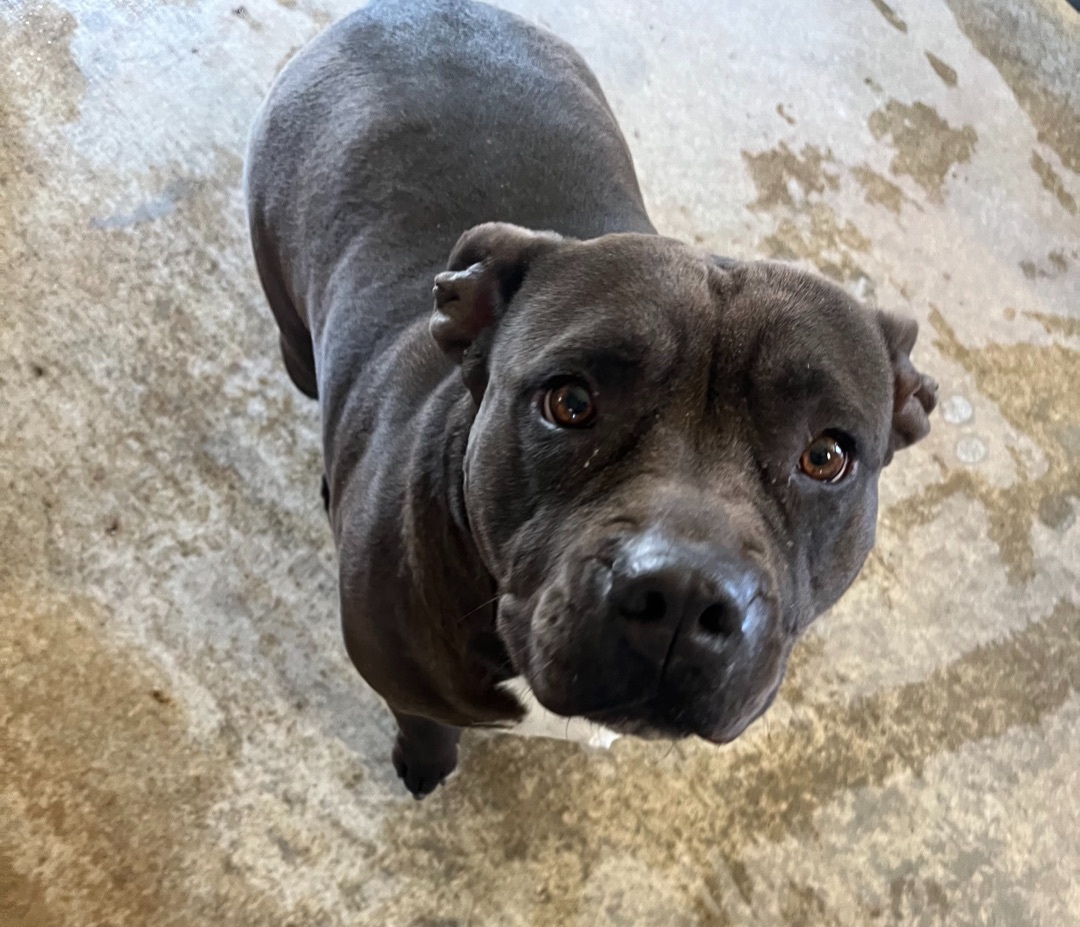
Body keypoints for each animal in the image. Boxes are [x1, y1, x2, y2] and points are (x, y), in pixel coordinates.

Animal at [240, 0, 933, 795]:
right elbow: (424, 725)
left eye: (827, 455)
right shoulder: (400, 682)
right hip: (292, 322)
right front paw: (426, 767)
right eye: (570, 403)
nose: (684, 595)